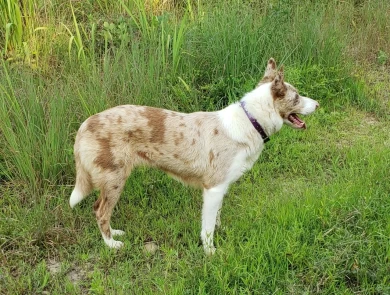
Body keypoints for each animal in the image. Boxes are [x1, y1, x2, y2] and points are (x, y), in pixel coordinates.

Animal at [70, 59, 320, 256]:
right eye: (297, 97)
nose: (318, 104)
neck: (251, 120)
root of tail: (85, 125)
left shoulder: (221, 188)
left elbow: (216, 217)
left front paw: (220, 232)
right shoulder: (213, 189)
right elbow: (207, 228)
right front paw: (210, 252)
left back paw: (115, 233)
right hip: (115, 180)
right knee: (100, 211)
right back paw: (111, 243)